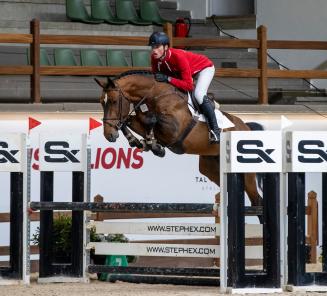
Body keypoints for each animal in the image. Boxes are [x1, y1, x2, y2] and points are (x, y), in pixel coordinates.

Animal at [95, 70, 264, 216]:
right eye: (101, 102)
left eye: (113, 101)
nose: (108, 135)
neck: (155, 95)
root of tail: (246, 126)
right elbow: (130, 120)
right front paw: (139, 142)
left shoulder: (173, 130)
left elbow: (151, 119)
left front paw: (153, 145)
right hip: (210, 167)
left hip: (246, 173)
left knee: (257, 201)